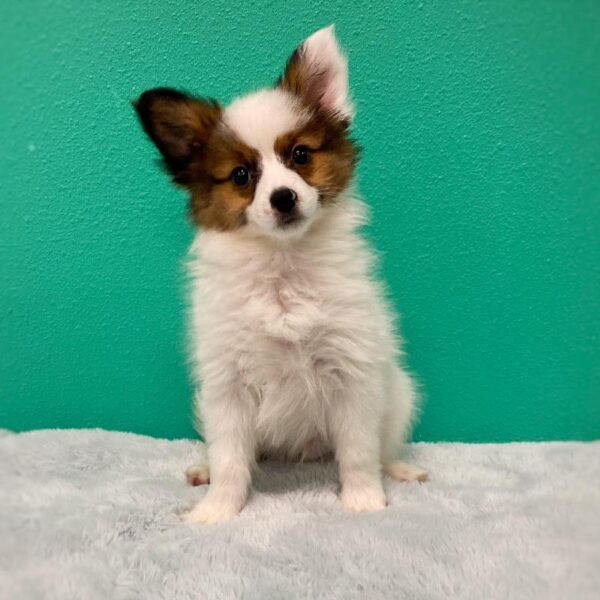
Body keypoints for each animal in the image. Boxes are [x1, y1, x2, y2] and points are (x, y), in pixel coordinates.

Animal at [135, 25, 426, 524]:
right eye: (240, 175)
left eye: (300, 155)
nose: (284, 197)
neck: (282, 268)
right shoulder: (226, 385)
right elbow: (231, 458)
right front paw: (217, 511)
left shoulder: (353, 373)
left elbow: (358, 450)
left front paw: (364, 501)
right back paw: (203, 470)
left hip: (399, 392)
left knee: (382, 447)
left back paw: (399, 471)